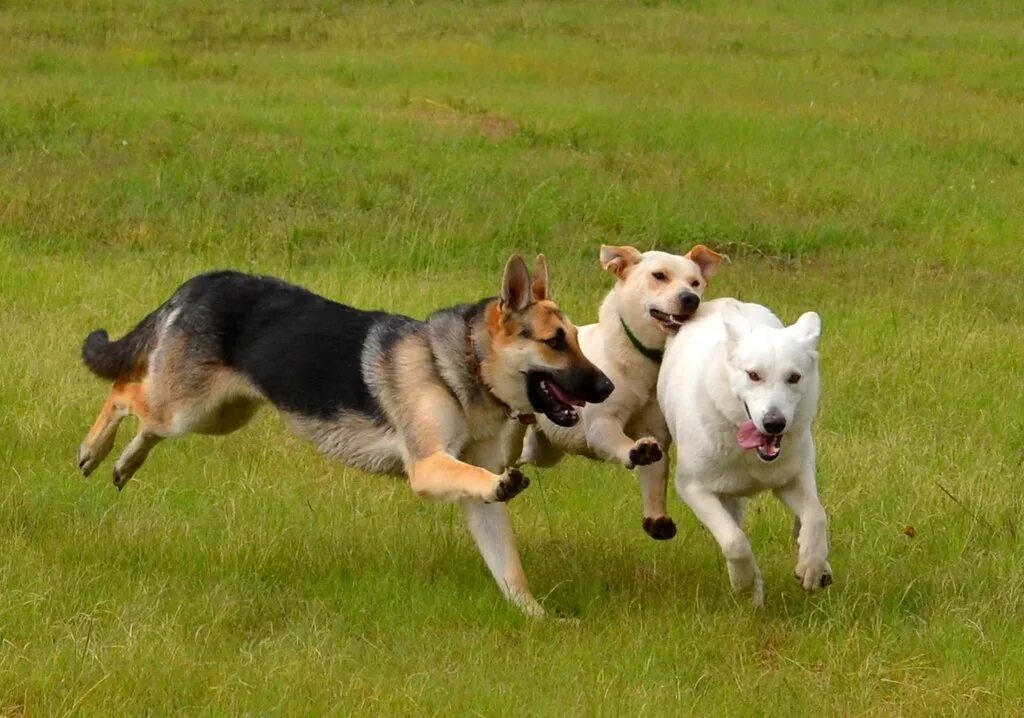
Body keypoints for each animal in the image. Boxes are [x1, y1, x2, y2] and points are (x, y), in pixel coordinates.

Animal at [77, 255, 614, 614]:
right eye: (555, 343)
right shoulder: (428, 466)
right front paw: (507, 484)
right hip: (188, 410)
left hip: (219, 415)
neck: (464, 365)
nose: (608, 387)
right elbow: (478, 479)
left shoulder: (476, 496)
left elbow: (509, 568)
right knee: (125, 393)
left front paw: (536, 618)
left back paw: (124, 464)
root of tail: (204, 281)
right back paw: (94, 450)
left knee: (146, 422)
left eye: (576, 340)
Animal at [520, 244, 720, 536]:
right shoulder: (602, 424)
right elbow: (619, 441)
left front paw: (656, 519)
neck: (642, 362)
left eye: (696, 283)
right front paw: (634, 451)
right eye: (659, 275)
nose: (690, 298)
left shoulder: (655, 430)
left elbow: (655, 474)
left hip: (544, 449)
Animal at [655, 297, 831, 606]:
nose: (774, 423)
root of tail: (726, 301)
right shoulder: (693, 488)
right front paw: (746, 582)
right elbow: (734, 541)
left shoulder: (790, 479)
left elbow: (816, 515)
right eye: (753, 375)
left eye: (794, 378)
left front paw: (811, 565)